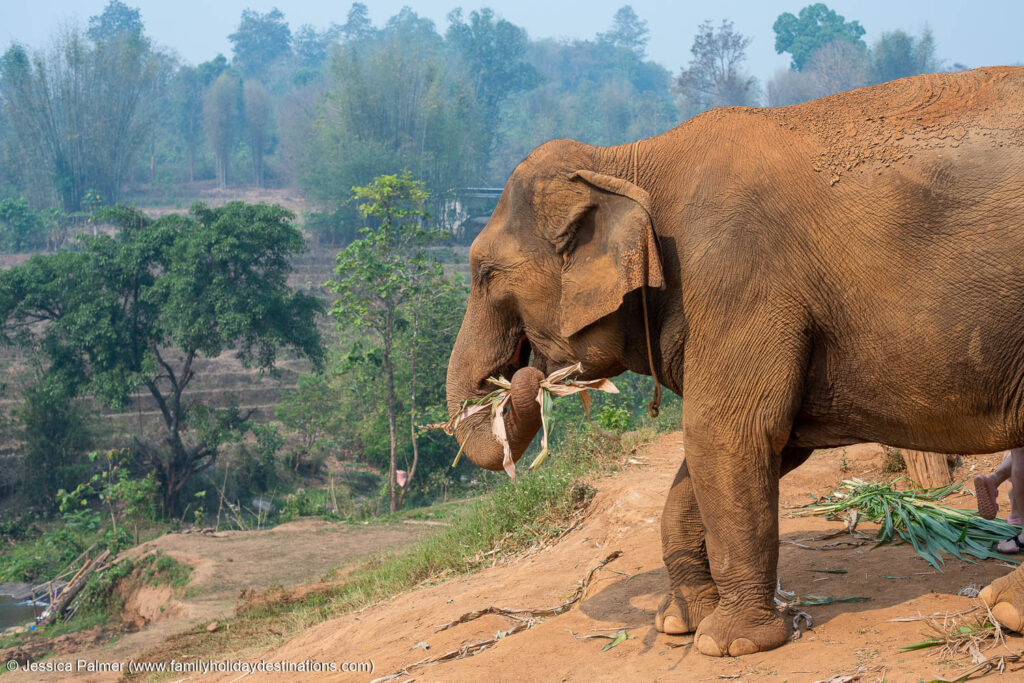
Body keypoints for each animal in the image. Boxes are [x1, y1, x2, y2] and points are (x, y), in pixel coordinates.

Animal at [444, 66, 1024, 657]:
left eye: (485, 273)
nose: (520, 376)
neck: (626, 159)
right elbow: (752, 446)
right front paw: (679, 621)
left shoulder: (737, 278)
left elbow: (726, 431)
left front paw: (728, 643)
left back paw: (1006, 608)